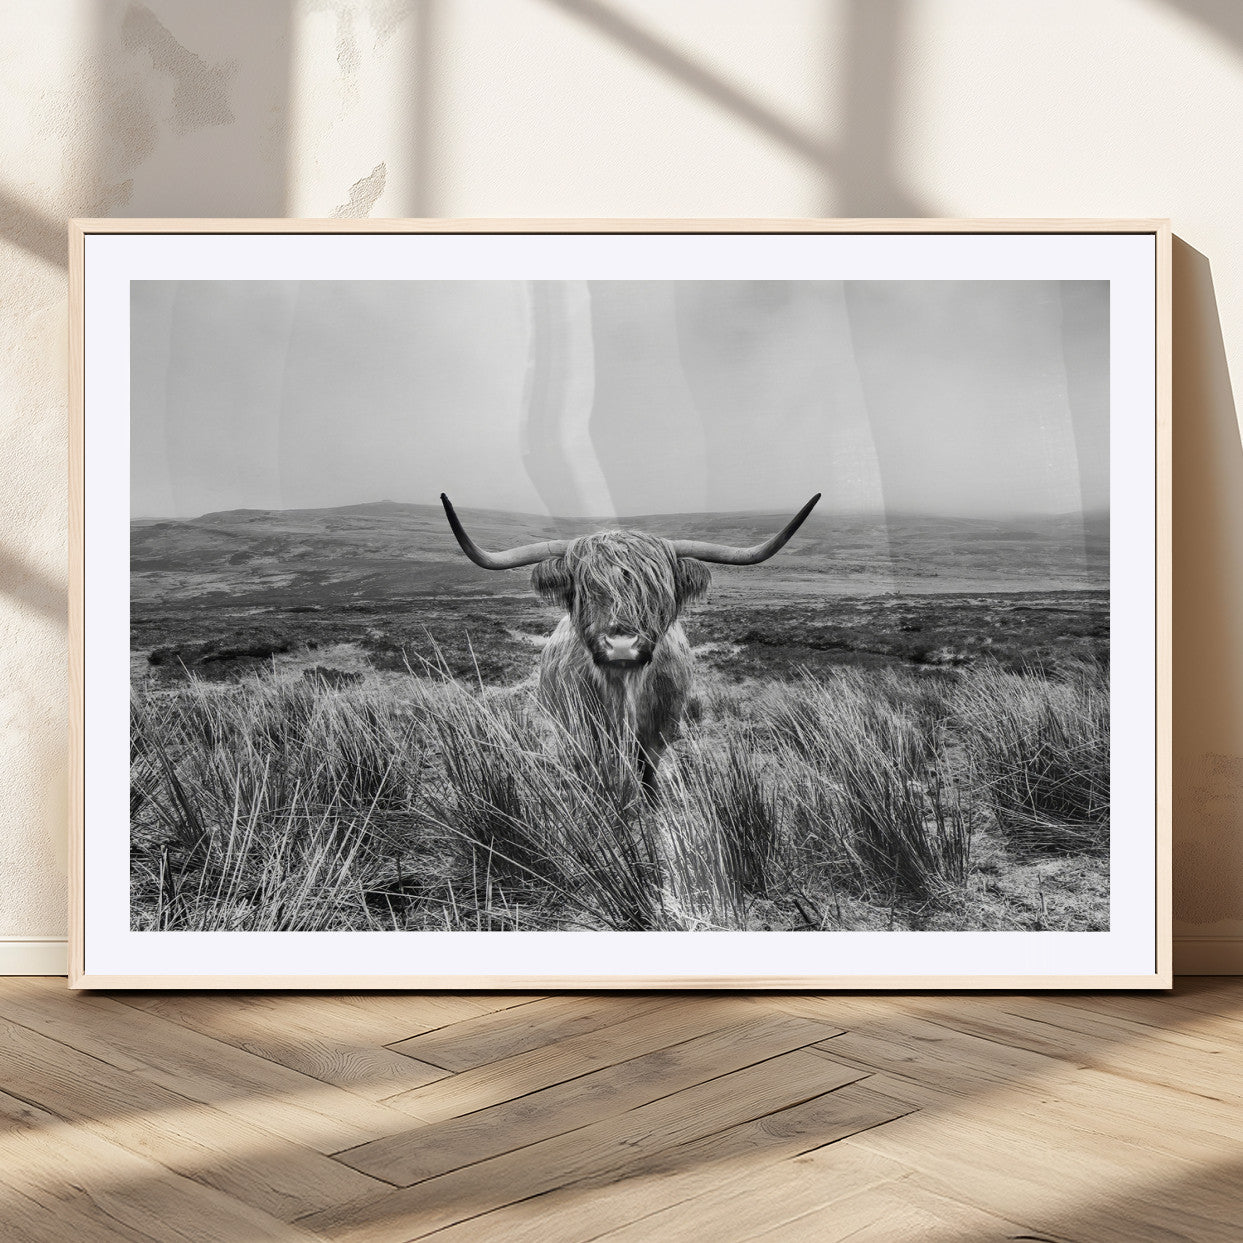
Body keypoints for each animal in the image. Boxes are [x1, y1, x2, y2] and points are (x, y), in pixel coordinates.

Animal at [440, 492, 821, 792]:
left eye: (656, 590)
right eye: (585, 588)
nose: (621, 645)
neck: (624, 691)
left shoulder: (658, 735)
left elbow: (648, 777)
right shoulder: (581, 734)